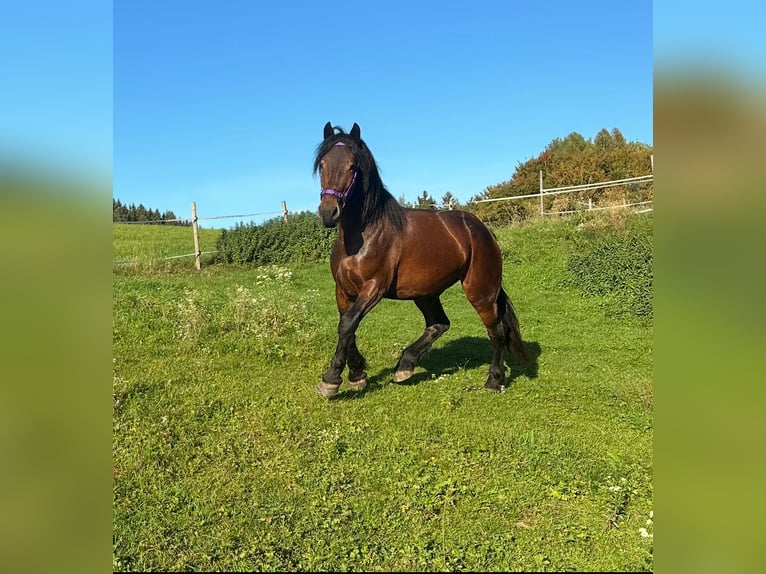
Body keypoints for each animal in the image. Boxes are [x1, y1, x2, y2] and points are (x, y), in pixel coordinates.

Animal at [314, 122, 528, 400]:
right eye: (323, 164)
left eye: (353, 166)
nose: (329, 212)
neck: (363, 234)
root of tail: (482, 230)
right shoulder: (343, 290)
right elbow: (347, 327)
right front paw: (357, 375)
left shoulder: (373, 288)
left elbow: (347, 324)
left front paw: (330, 380)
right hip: (425, 292)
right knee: (439, 323)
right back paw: (405, 366)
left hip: (480, 291)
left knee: (497, 332)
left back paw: (494, 380)